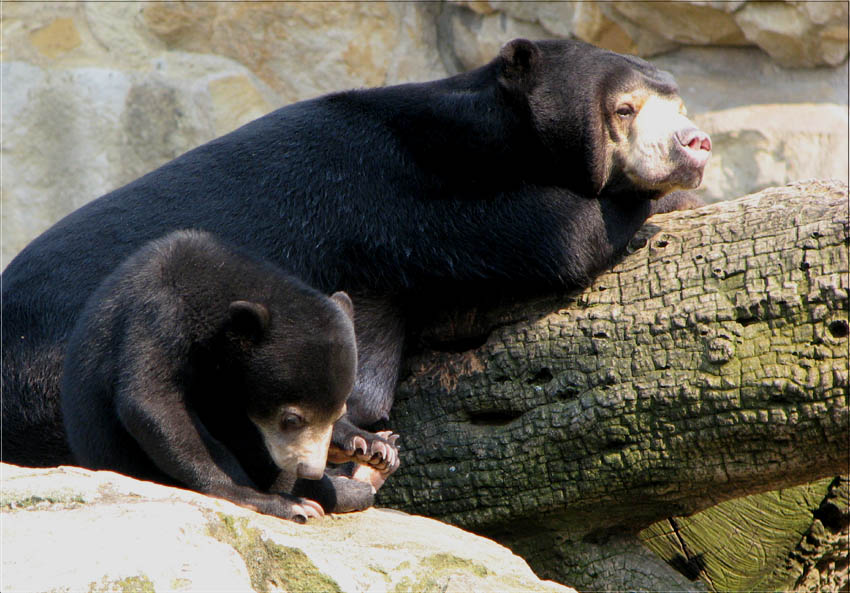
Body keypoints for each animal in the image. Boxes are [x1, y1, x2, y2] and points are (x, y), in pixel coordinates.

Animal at [1, 38, 708, 472]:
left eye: (679, 103)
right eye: (624, 109)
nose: (695, 144)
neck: (487, 137)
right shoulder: (399, 196)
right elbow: (562, 234)